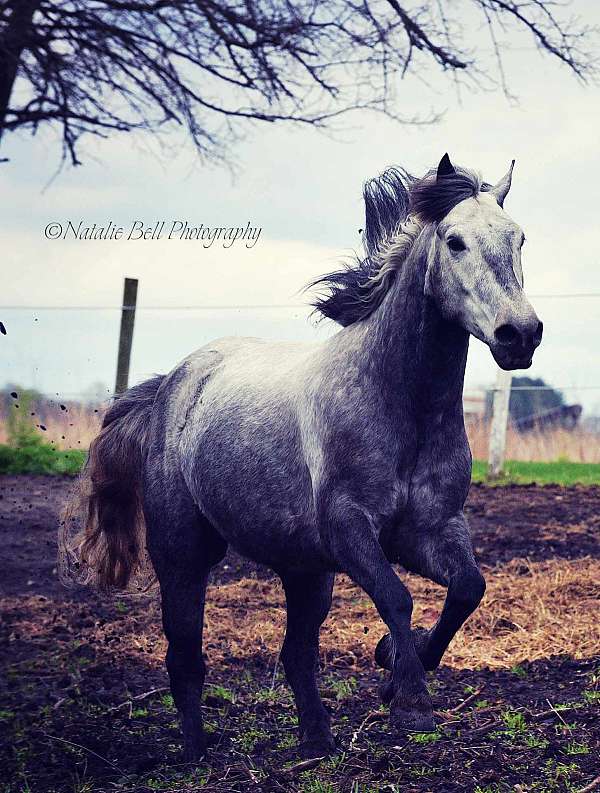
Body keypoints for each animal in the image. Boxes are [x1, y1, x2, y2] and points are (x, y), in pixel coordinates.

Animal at [62, 155, 544, 760]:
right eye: (454, 241)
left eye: (519, 238)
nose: (520, 334)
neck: (401, 407)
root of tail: (173, 383)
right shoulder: (350, 529)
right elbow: (397, 597)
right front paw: (410, 701)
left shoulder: (431, 529)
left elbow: (467, 589)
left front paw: (392, 667)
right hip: (184, 551)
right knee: (185, 655)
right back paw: (197, 751)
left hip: (305, 571)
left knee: (295, 656)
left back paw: (317, 742)